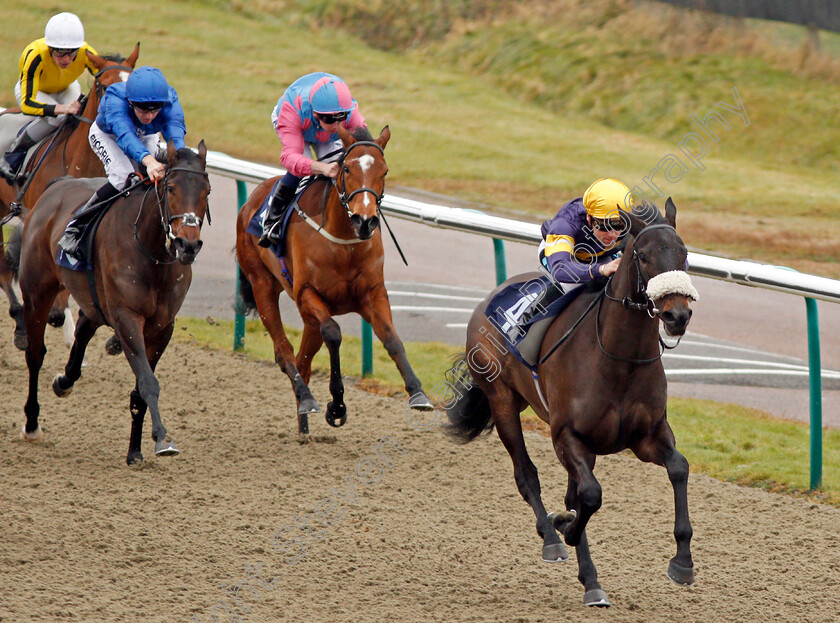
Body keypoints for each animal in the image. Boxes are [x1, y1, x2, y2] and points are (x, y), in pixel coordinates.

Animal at [18, 140, 210, 464]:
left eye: (206, 190)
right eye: (170, 188)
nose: (188, 245)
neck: (151, 252)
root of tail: (58, 185)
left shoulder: (162, 327)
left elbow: (140, 389)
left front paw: (135, 451)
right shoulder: (126, 317)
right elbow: (147, 382)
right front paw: (162, 438)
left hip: (93, 299)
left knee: (83, 328)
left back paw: (64, 382)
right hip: (37, 292)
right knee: (35, 354)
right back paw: (32, 424)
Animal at [236, 125, 434, 436]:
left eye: (385, 171)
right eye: (348, 168)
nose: (365, 220)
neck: (344, 242)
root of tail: (251, 201)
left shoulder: (373, 293)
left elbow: (392, 339)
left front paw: (418, 393)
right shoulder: (307, 293)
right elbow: (334, 333)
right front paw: (337, 406)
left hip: (306, 317)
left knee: (303, 360)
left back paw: (304, 425)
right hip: (262, 284)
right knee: (284, 351)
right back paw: (307, 398)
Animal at [446, 201, 696, 608]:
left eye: (684, 254)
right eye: (643, 256)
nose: (677, 316)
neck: (620, 359)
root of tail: (489, 299)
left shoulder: (648, 436)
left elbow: (678, 468)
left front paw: (683, 562)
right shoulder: (566, 435)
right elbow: (590, 496)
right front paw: (570, 537)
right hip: (502, 401)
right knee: (526, 474)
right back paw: (553, 539)